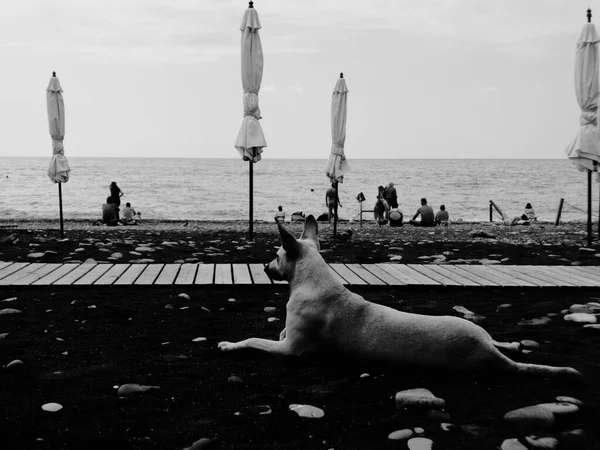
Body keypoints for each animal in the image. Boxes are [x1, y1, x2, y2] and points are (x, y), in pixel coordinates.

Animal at [220, 214, 580, 376]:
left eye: (276, 254)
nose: (264, 266)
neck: (313, 280)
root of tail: (487, 351)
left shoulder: (290, 350)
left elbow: (254, 340)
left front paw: (230, 344)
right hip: (477, 330)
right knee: (498, 339)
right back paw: (512, 344)